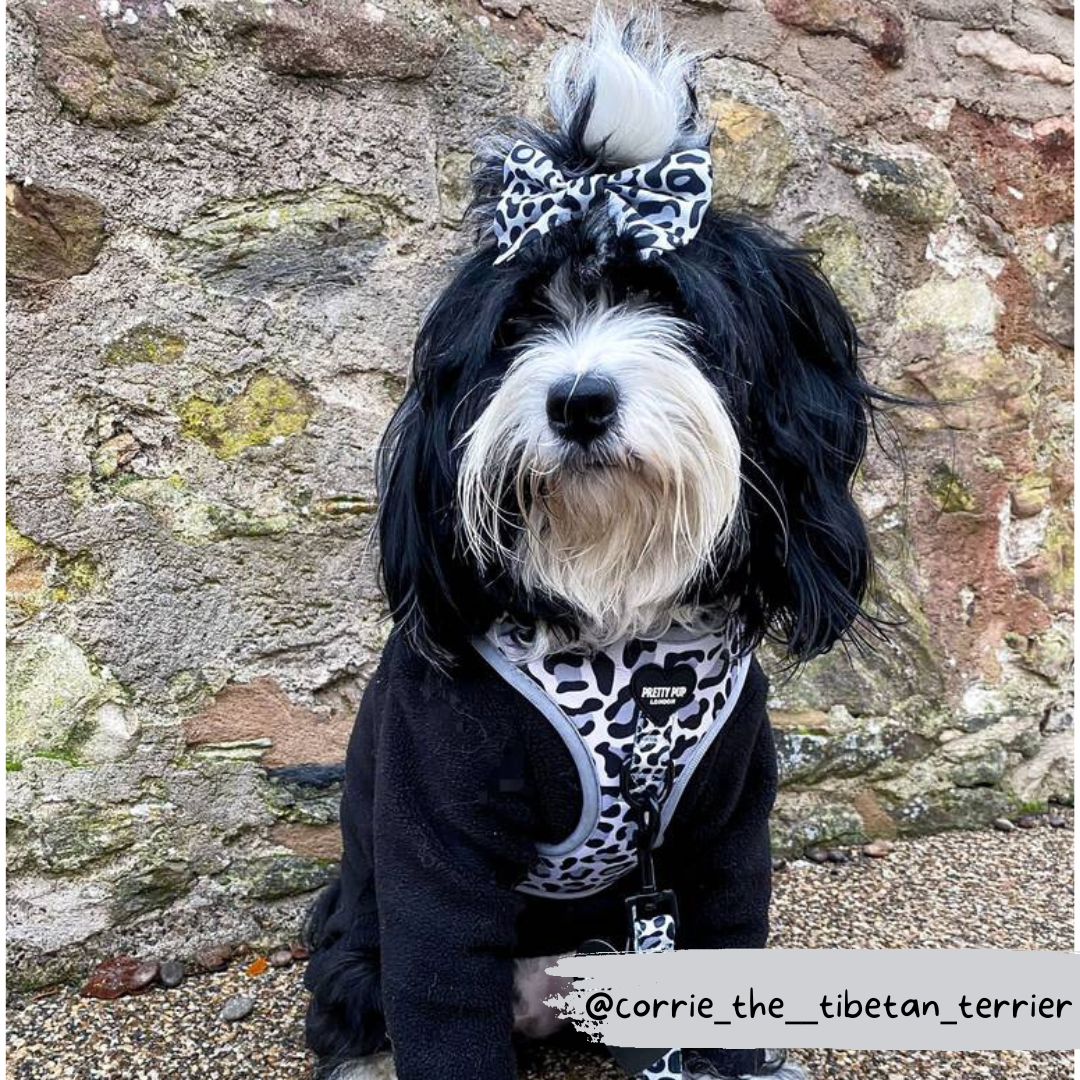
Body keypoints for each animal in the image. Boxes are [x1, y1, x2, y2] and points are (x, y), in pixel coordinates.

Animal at [302, 8, 876, 1080]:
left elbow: (731, 943)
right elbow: (439, 991)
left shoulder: (725, 831)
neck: (619, 625)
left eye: (670, 303)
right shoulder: (433, 832)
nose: (578, 401)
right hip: (357, 941)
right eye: (521, 319)